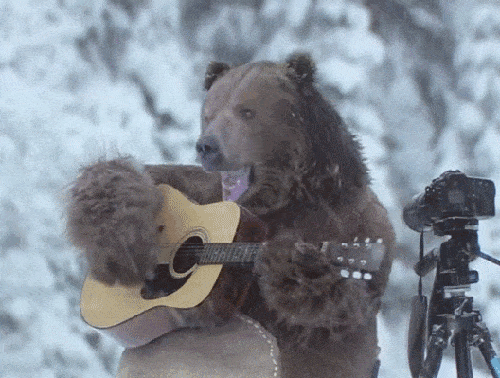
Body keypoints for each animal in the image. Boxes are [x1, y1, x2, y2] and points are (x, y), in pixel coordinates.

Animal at [65, 54, 394, 378]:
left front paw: (296, 267)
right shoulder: (200, 186)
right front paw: (123, 237)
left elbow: (336, 312)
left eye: (247, 111)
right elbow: (139, 175)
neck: (278, 201)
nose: (206, 145)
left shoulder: (355, 222)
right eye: (209, 113)